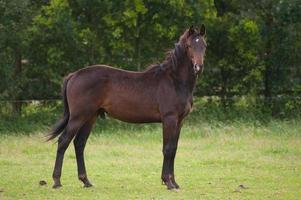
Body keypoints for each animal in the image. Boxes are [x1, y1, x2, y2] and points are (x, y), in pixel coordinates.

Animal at [47, 24, 206, 189]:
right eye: (189, 46)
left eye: (204, 45)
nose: (198, 67)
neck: (174, 81)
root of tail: (73, 75)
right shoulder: (169, 119)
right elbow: (167, 149)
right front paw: (167, 182)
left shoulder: (179, 121)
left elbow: (174, 149)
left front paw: (174, 183)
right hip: (78, 117)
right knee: (63, 141)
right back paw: (57, 181)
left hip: (90, 117)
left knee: (79, 143)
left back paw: (86, 181)